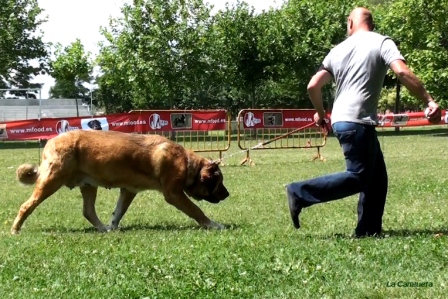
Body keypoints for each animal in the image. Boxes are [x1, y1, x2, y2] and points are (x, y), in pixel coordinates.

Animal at [12, 131, 229, 234]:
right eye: (219, 182)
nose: (227, 194)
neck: (187, 163)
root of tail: (50, 141)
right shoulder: (174, 194)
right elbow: (196, 210)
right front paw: (213, 224)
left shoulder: (128, 190)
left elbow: (118, 212)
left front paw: (113, 226)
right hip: (52, 181)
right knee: (26, 206)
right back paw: (15, 230)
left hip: (89, 186)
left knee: (88, 211)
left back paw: (103, 229)